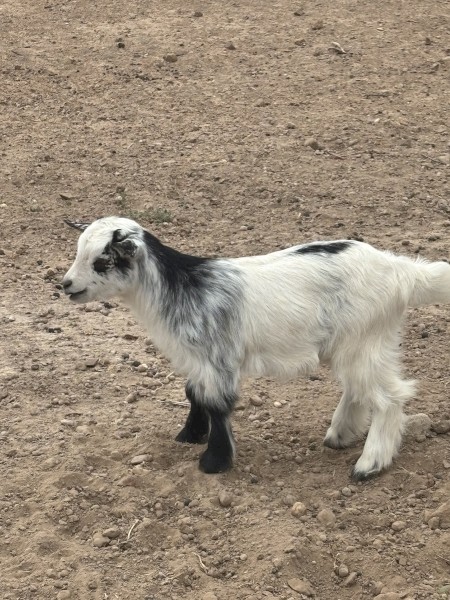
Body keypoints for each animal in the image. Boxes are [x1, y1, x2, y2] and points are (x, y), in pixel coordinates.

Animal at [62, 216, 450, 480]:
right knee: (359, 390)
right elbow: (194, 394)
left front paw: (213, 462)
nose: (66, 284)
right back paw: (340, 434)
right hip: (357, 344)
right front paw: (189, 435)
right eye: (79, 252)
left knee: (389, 397)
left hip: (362, 340)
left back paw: (369, 464)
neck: (183, 287)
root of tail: (402, 273)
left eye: (102, 261)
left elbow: (217, 404)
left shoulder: (218, 358)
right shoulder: (198, 359)